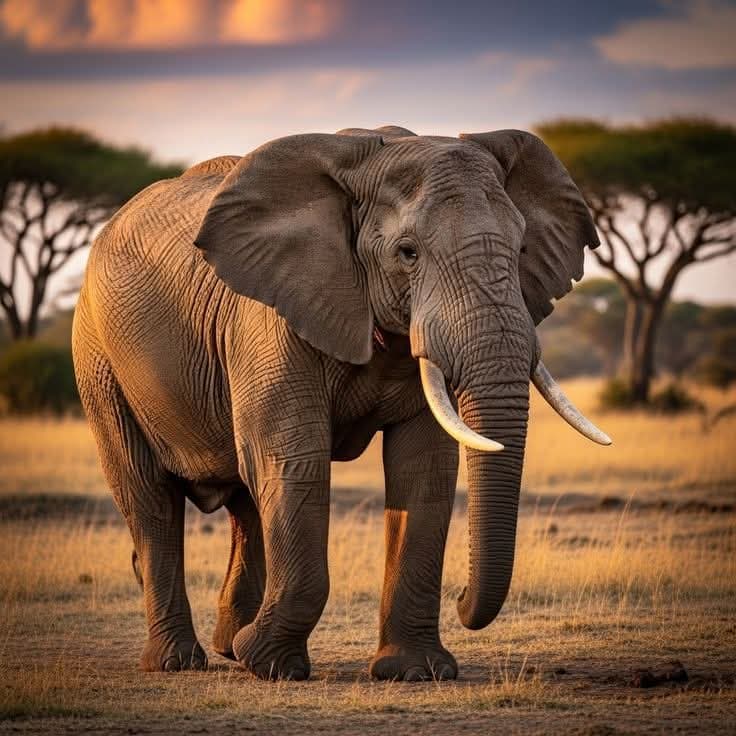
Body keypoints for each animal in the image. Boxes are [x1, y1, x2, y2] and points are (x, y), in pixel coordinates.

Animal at [72, 124, 610, 682]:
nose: (462, 599)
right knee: (150, 499)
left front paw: (414, 672)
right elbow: (294, 460)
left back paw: (230, 647)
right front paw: (271, 666)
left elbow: (422, 468)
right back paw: (178, 662)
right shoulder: (269, 318)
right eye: (408, 252)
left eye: (522, 246)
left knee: (244, 500)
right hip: (98, 358)